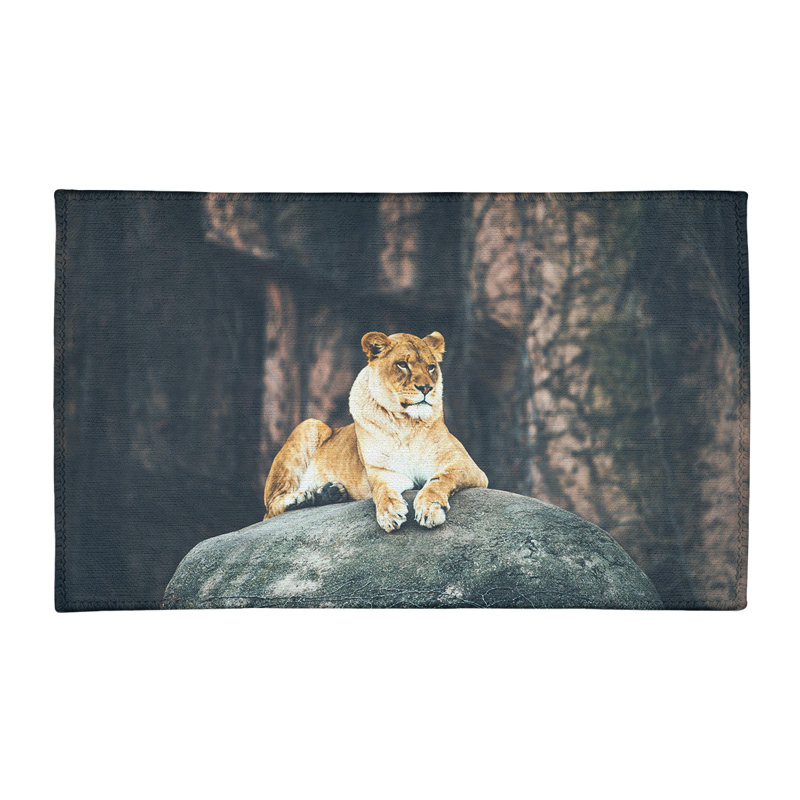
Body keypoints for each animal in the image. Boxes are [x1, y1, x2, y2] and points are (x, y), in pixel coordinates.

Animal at [263, 330, 488, 531]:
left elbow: (440, 479)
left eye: (431, 367)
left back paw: (329, 492)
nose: (426, 388)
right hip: (309, 424)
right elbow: (382, 490)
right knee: (272, 507)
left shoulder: (466, 465)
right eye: (402, 364)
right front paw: (389, 513)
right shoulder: (383, 470)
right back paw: (303, 496)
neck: (407, 424)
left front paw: (429, 508)